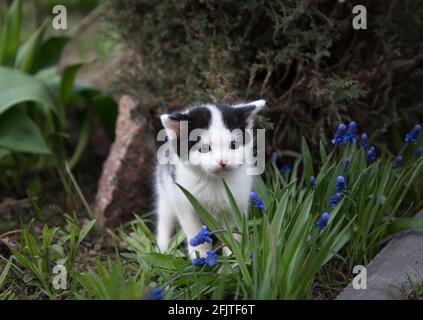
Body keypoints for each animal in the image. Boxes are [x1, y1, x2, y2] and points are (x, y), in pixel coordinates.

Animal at [154, 100, 266, 258]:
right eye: (205, 148)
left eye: (233, 145)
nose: (222, 162)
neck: (215, 181)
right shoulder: (183, 201)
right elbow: (193, 229)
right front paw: (200, 255)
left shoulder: (237, 202)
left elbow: (234, 230)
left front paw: (235, 255)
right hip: (165, 191)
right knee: (165, 220)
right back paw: (162, 249)